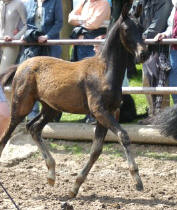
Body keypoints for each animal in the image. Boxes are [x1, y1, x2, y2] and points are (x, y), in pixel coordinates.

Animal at [0, 1, 149, 198]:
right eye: (126, 29)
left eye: (142, 28)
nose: (144, 54)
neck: (104, 71)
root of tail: (21, 65)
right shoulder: (99, 111)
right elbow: (123, 136)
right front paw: (138, 181)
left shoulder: (109, 112)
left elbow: (96, 150)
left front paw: (74, 187)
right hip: (22, 105)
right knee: (7, 134)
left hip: (50, 108)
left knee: (33, 128)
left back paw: (51, 175)